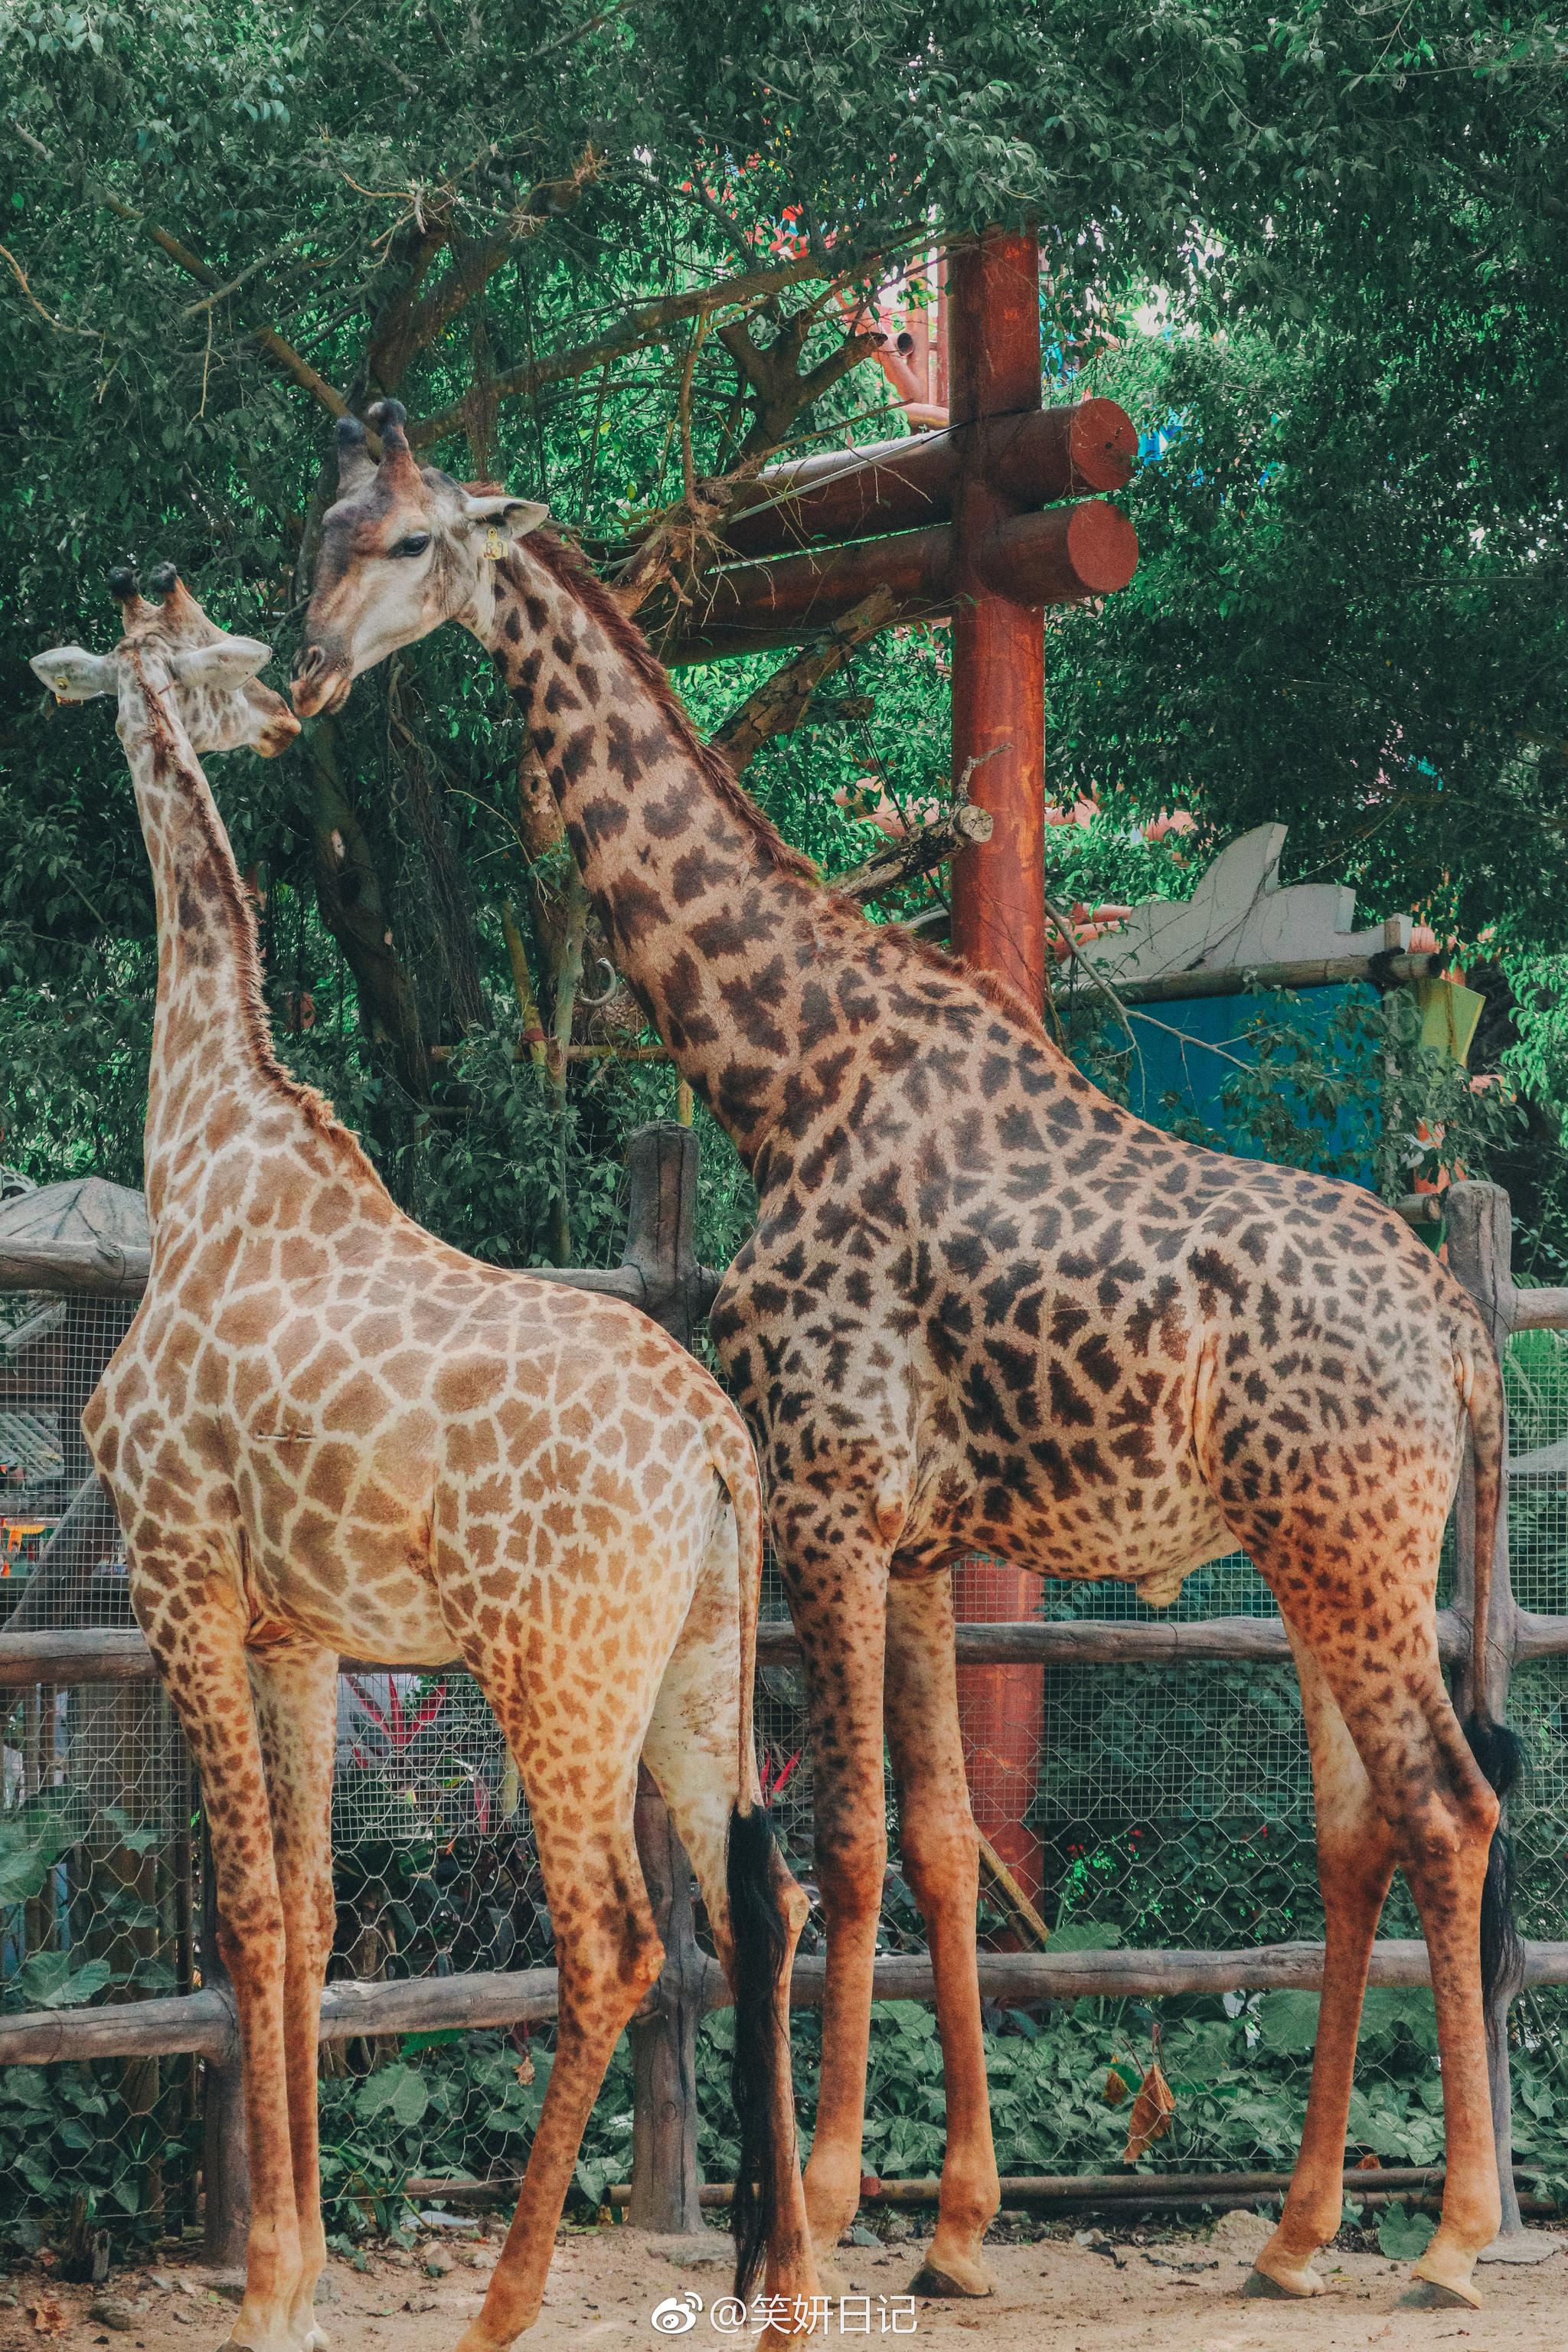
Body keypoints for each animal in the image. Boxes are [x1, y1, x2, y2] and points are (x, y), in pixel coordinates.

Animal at [28, 569, 822, 2352]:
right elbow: (317, 1917)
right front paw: (306, 2269)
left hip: (554, 1669)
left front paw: (267, 2289)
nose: (279, 718)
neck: (200, 1145)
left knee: (614, 1946)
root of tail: (718, 1451)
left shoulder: (180, 1579)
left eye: (177, 661)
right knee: (767, 1900)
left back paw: (503, 2305)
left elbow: (247, 1913)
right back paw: (791, 2293)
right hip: (700, 1659)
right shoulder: (301, 1631)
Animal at [291, 409, 1523, 2314]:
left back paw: (1454, 2239)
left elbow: (846, 1847)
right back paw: (1297, 2233)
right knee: (1357, 1829)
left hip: (1347, 1545)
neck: (779, 1072)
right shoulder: (926, 1536)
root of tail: (1460, 1330)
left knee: (1448, 1810)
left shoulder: (831, 1502)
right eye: (321, 530)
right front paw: (954, 2221)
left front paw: (830, 2191)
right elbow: (944, 1845)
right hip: (1329, 1557)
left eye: (415, 541)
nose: (299, 672)